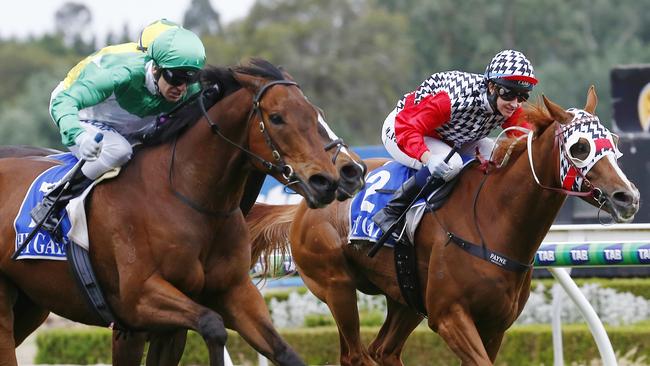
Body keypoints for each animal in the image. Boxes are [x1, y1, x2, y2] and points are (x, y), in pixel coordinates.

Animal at [0, 58, 364, 364]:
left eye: (314, 114)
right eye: (277, 118)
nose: (332, 179)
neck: (189, 198)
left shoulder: (231, 293)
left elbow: (284, 351)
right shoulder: (138, 302)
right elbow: (213, 326)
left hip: (31, 304)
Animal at [247, 87, 636, 364]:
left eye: (614, 142)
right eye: (580, 147)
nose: (627, 197)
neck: (493, 222)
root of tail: (302, 206)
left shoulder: (495, 325)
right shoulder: (450, 317)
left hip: (404, 298)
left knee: (383, 351)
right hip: (336, 287)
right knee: (355, 355)